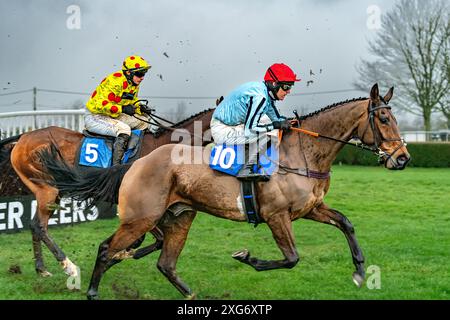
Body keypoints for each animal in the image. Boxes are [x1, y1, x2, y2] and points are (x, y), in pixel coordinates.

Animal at [0, 107, 214, 278]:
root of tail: (23, 138)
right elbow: (156, 238)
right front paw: (120, 254)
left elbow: (154, 239)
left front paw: (121, 254)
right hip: (48, 189)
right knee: (40, 226)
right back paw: (69, 266)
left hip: (52, 191)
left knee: (35, 224)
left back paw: (41, 269)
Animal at [40, 84, 410, 298]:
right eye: (384, 120)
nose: (403, 158)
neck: (303, 153)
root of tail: (137, 162)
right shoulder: (277, 216)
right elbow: (291, 258)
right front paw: (247, 257)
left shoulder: (310, 208)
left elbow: (346, 223)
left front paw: (360, 272)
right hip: (141, 217)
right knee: (107, 248)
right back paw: (91, 289)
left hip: (179, 217)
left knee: (165, 262)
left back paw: (188, 293)